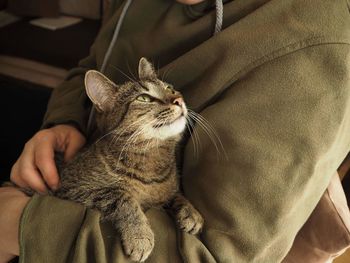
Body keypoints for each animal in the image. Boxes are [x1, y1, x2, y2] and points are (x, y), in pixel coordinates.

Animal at [45, 58, 202, 263]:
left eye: (170, 88)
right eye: (144, 98)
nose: (179, 100)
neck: (152, 160)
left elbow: (175, 194)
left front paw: (191, 211)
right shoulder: (71, 188)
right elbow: (122, 196)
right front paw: (139, 234)